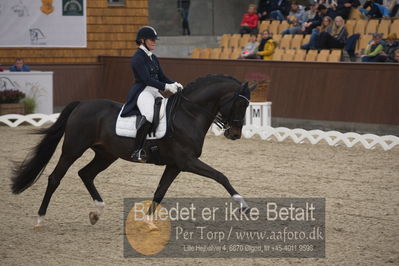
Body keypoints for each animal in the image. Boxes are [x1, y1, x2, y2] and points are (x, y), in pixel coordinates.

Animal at [12, 75, 258, 229]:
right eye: (240, 104)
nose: (235, 134)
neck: (188, 114)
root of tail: (82, 104)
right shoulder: (187, 161)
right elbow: (221, 176)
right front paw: (244, 207)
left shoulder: (175, 165)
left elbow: (160, 191)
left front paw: (148, 222)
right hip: (73, 149)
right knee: (55, 178)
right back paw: (40, 219)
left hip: (106, 154)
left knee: (86, 174)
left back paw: (96, 212)